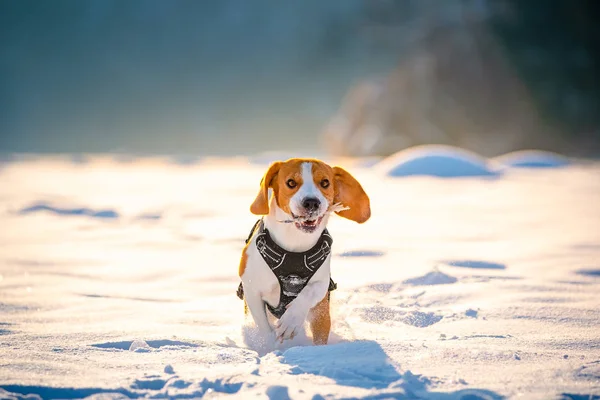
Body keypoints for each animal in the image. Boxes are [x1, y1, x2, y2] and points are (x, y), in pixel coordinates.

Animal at [237, 158, 368, 346]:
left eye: (325, 183)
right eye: (291, 182)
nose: (311, 202)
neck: (294, 242)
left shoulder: (322, 285)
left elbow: (310, 291)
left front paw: (291, 321)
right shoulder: (251, 288)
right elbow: (264, 326)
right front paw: (271, 345)